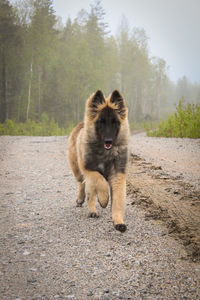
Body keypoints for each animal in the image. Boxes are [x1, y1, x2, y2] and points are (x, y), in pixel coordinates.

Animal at [67, 89, 130, 232]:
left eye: (114, 122)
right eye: (101, 122)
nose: (108, 141)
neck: (105, 153)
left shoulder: (117, 174)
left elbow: (117, 200)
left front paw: (118, 222)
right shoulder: (88, 169)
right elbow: (100, 181)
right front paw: (104, 199)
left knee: (90, 193)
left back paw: (92, 211)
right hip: (77, 169)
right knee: (82, 184)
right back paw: (82, 201)